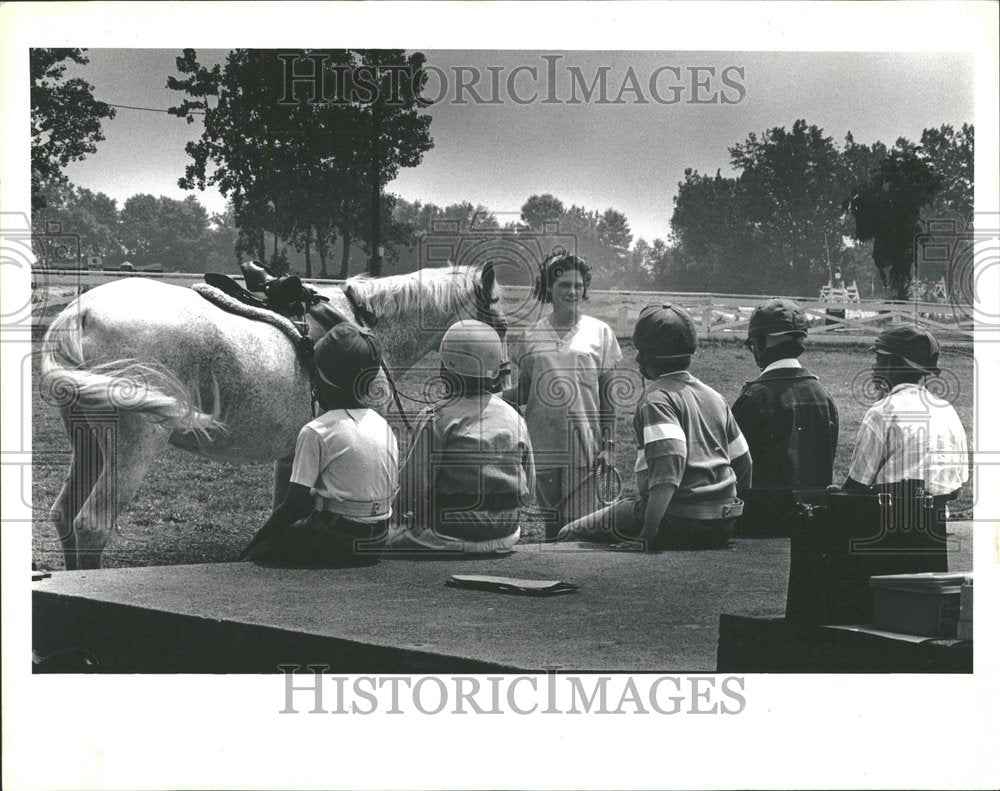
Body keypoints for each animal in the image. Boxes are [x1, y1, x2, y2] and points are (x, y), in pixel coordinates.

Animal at [41, 264, 508, 568]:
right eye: (500, 319)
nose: (503, 375)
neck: (368, 325)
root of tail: (79, 313)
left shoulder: (296, 448)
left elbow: (283, 505)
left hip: (87, 439)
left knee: (65, 516)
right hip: (135, 443)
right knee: (92, 525)